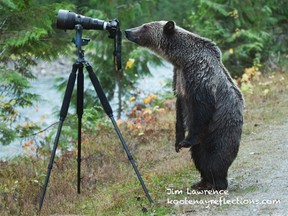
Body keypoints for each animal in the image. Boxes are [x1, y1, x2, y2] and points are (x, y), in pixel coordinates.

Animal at [125, 19, 244, 189]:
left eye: (145, 26)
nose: (127, 31)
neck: (183, 59)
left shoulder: (200, 76)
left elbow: (202, 108)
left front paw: (186, 140)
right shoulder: (178, 77)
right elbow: (180, 109)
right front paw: (177, 142)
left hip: (220, 129)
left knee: (215, 156)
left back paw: (218, 182)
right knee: (198, 156)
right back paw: (202, 182)